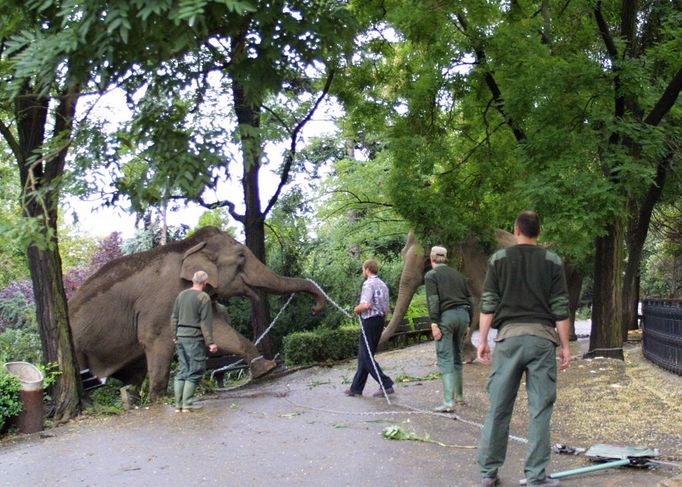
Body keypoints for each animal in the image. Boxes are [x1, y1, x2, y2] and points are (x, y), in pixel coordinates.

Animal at [70, 227, 326, 398]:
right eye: (241, 257)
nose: (315, 308)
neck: (187, 245)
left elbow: (218, 329)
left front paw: (265, 369)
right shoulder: (163, 302)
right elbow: (156, 339)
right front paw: (158, 400)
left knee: (133, 372)